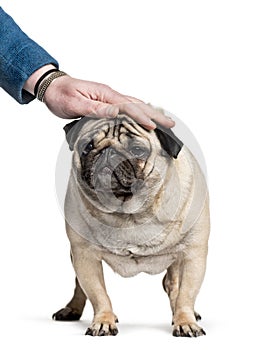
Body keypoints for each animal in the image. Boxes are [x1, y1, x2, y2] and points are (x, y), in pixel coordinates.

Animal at [53, 113, 210, 338]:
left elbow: (186, 293)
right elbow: (98, 293)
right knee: (80, 286)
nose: (108, 153)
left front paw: (185, 322)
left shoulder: (193, 256)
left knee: (173, 285)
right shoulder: (85, 256)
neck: (130, 212)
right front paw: (104, 321)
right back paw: (72, 308)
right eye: (87, 146)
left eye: (137, 150)